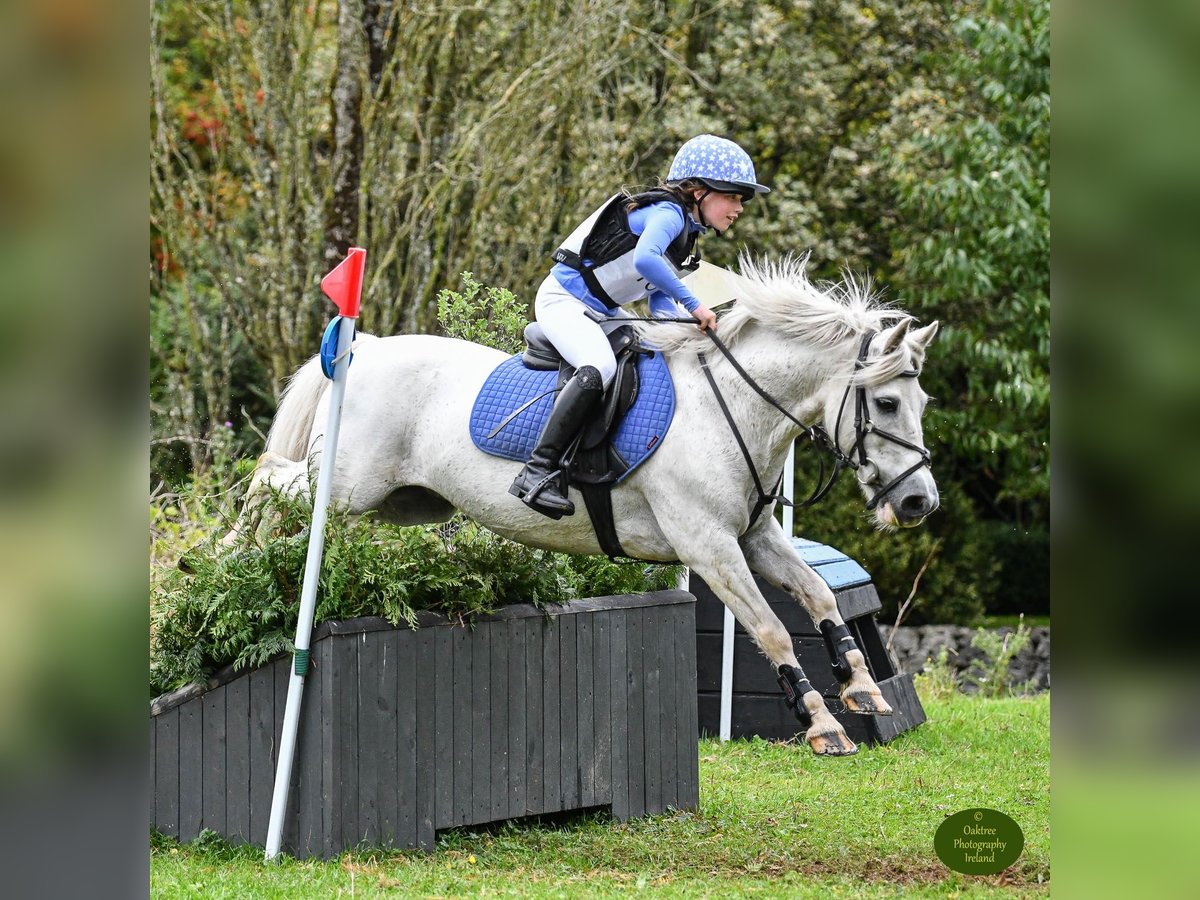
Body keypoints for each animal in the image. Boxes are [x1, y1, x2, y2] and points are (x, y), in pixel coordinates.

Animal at [241, 256, 936, 758]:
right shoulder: (709, 545)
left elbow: (817, 594)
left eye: (921, 401)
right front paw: (823, 724)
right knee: (269, 482)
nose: (919, 501)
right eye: (888, 404)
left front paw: (863, 688)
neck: (733, 405)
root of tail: (370, 348)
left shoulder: (754, 536)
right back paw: (224, 563)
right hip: (348, 488)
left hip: (403, 504)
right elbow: (769, 627)